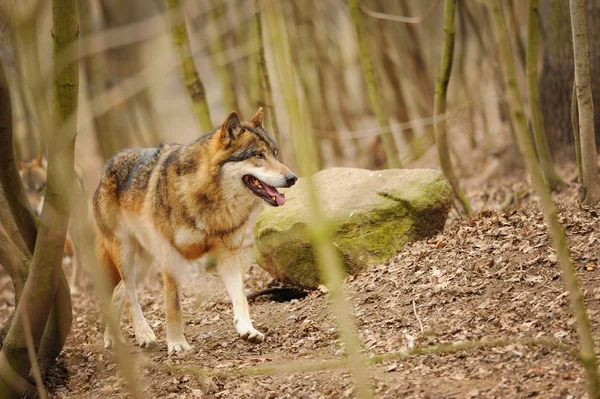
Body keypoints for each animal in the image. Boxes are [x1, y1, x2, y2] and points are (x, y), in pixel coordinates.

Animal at [92, 108, 296, 354]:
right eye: (258, 155)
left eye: (275, 154)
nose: (292, 178)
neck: (212, 201)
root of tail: (106, 167)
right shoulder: (171, 258)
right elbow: (174, 305)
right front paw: (177, 343)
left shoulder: (229, 254)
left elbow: (241, 297)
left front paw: (247, 330)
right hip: (127, 256)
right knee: (129, 296)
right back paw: (144, 335)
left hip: (143, 264)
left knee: (118, 292)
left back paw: (114, 339)